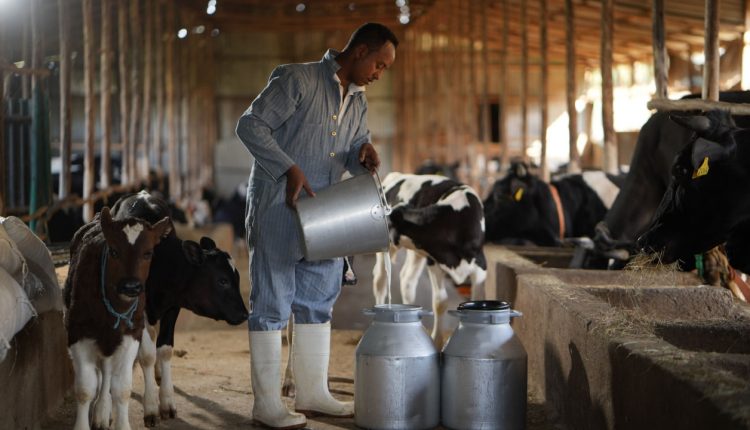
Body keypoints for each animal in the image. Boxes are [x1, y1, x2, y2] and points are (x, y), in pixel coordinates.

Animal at [63, 207, 171, 430]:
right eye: (113, 251)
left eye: (148, 253)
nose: (131, 286)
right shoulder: (77, 334)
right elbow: (85, 389)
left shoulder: (131, 336)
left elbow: (122, 389)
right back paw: (102, 412)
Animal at [110, 190, 249, 424]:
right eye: (222, 281)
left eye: (237, 278)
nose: (244, 314)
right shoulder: (142, 310)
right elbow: (147, 355)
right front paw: (150, 407)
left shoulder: (173, 307)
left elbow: (165, 350)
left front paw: (167, 402)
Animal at [372, 172, 487, 347]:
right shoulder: (433, 261)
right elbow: (440, 302)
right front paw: (437, 342)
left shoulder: (480, 264)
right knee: (380, 282)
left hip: (416, 253)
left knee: (407, 281)